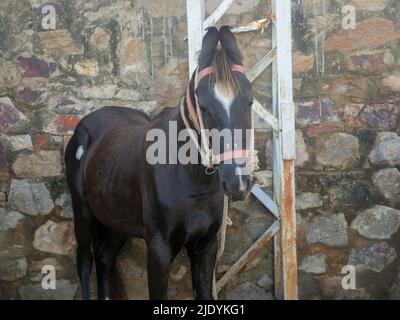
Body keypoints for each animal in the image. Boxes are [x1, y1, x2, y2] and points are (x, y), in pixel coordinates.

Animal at [65, 25, 253, 300]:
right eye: (204, 106)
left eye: (249, 102)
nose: (238, 181)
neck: (189, 178)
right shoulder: (159, 250)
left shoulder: (205, 246)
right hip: (84, 215)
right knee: (84, 262)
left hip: (115, 222)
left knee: (104, 260)